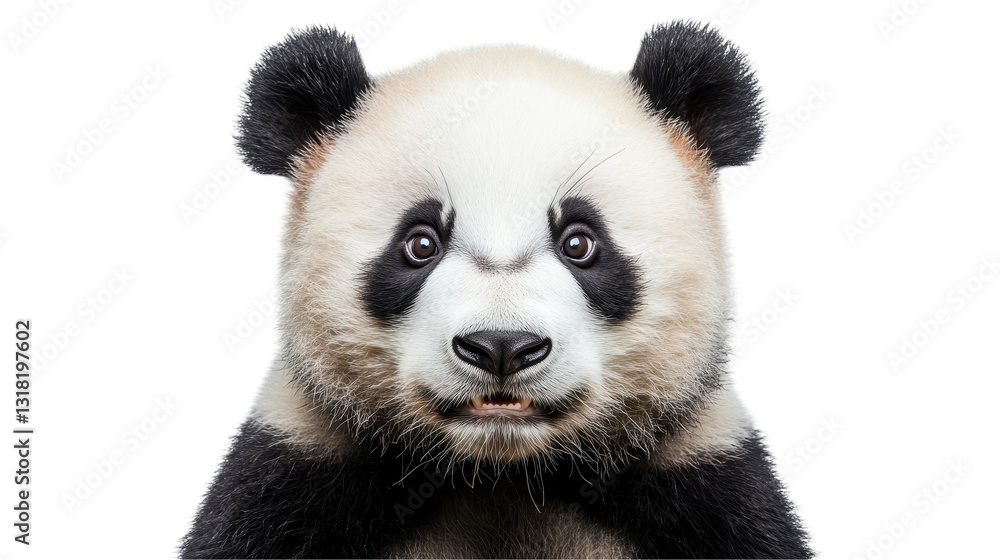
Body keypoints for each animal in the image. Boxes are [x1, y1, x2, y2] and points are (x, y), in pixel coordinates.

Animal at [181, 21, 812, 559]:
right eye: (420, 243)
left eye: (580, 242)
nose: (501, 347)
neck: (503, 472)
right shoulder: (295, 475)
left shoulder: (704, 485)